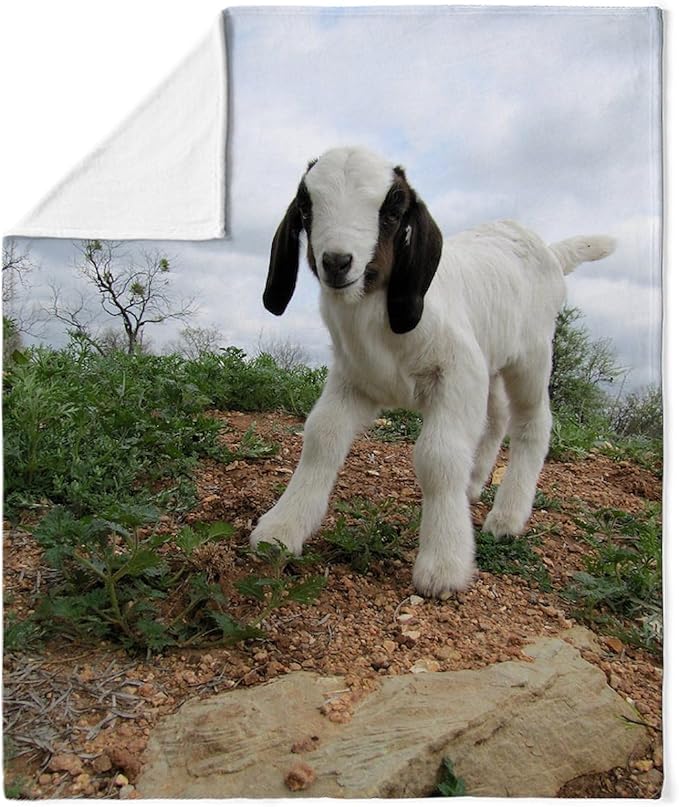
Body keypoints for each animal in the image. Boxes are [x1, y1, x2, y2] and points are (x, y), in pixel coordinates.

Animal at [252, 146, 615, 597]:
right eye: (306, 206)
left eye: (392, 209)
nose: (337, 262)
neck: (374, 313)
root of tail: (549, 250)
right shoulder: (354, 379)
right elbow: (322, 439)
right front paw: (281, 528)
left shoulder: (456, 375)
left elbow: (438, 458)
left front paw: (444, 565)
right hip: (489, 361)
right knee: (496, 418)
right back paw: (474, 483)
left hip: (530, 356)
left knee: (532, 422)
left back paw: (507, 518)